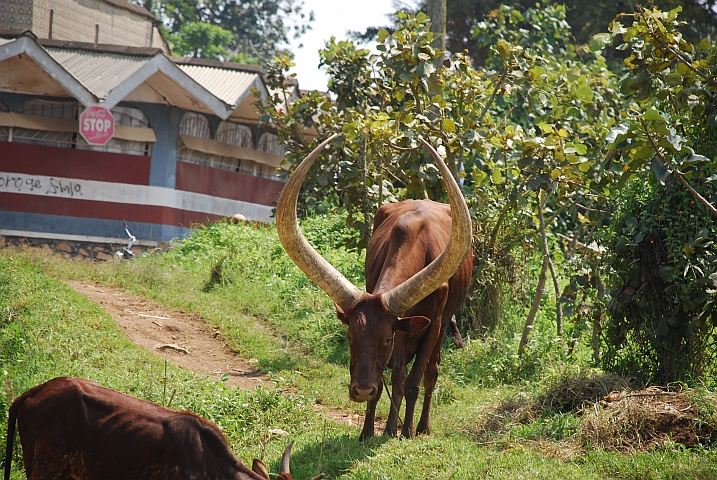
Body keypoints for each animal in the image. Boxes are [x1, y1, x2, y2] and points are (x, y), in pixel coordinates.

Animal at [276, 135, 472, 438]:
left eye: (386, 339)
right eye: (349, 337)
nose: (361, 390)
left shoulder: (430, 325)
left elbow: (414, 380)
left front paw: (407, 432)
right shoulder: (400, 328)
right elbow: (392, 380)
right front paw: (369, 431)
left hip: (439, 328)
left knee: (431, 371)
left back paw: (421, 426)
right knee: (398, 375)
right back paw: (390, 427)